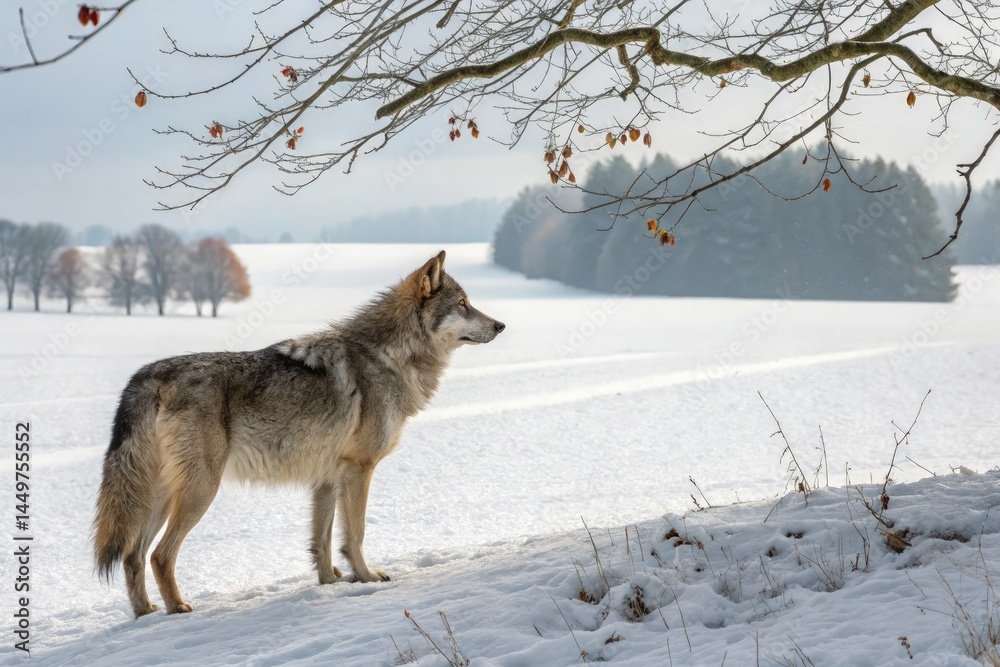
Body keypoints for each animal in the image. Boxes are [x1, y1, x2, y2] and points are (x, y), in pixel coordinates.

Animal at [93, 251, 504, 618]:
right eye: (464, 304)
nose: (501, 325)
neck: (390, 355)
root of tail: (149, 375)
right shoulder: (359, 469)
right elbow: (355, 534)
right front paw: (367, 577)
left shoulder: (328, 478)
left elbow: (323, 540)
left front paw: (331, 583)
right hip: (200, 490)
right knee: (160, 554)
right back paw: (177, 608)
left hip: (162, 495)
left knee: (133, 556)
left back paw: (145, 613)